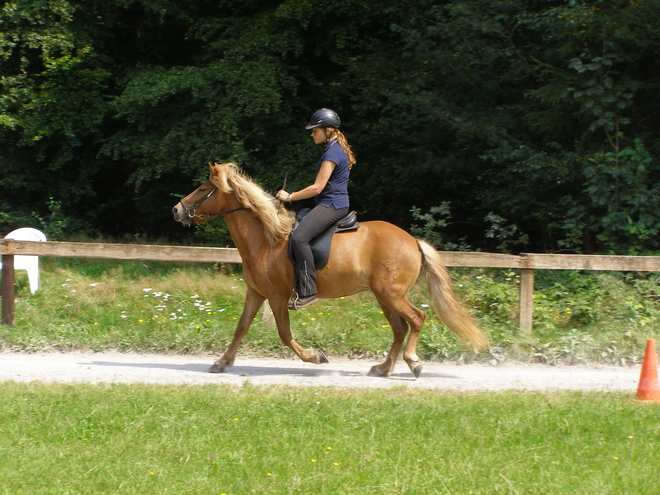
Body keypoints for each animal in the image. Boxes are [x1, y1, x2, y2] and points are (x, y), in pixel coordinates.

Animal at [173, 162, 488, 376]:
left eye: (203, 189)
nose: (176, 210)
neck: (266, 239)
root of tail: (412, 240)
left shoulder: (276, 297)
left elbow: (284, 334)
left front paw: (316, 357)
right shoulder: (256, 293)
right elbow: (241, 327)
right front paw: (221, 362)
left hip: (391, 293)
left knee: (417, 318)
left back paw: (413, 362)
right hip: (383, 296)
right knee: (400, 327)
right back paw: (383, 368)